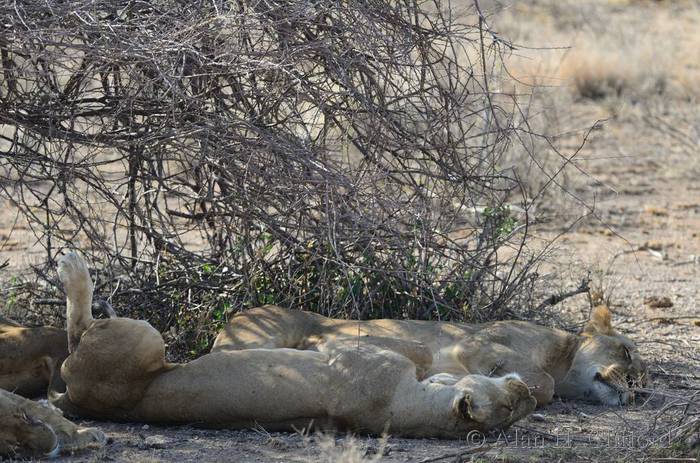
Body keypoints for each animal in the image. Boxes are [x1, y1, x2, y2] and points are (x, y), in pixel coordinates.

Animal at [50, 252, 536, 438]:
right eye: (510, 405)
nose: (527, 391)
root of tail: (78, 401)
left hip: (140, 338)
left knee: (78, 331)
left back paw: (74, 269)